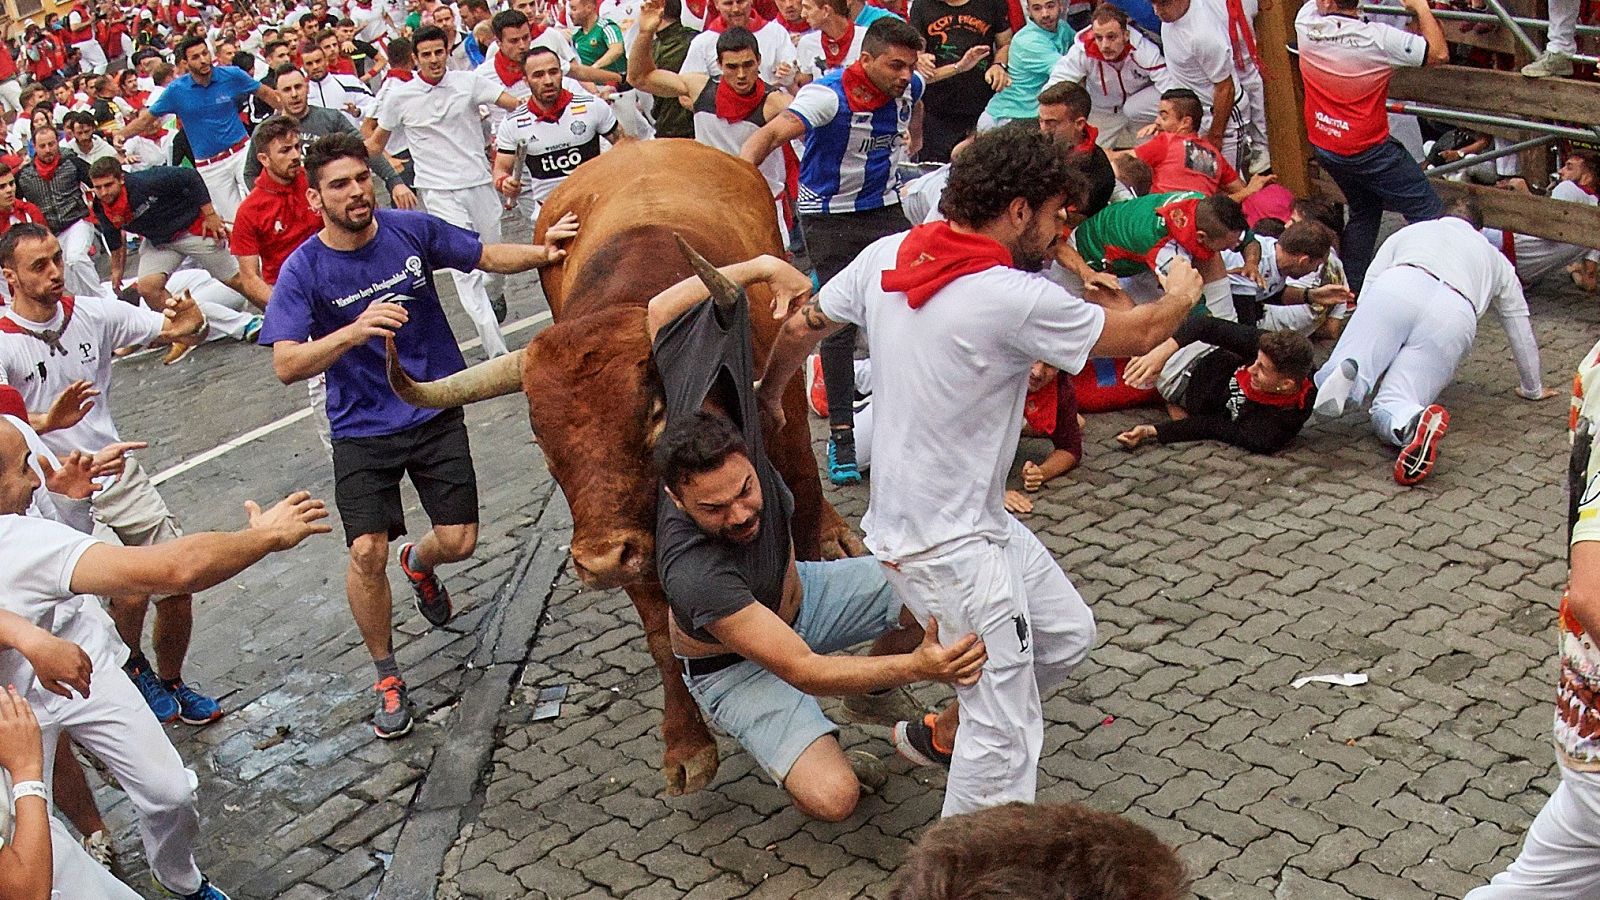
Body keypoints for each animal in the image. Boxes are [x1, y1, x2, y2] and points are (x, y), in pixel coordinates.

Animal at [384, 138, 864, 791]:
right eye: (539, 439)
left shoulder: (782, 425)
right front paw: (686, 746)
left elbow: (805, 520)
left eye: (656, 412)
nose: (600, 562)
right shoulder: (638, 535)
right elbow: (662, 636)